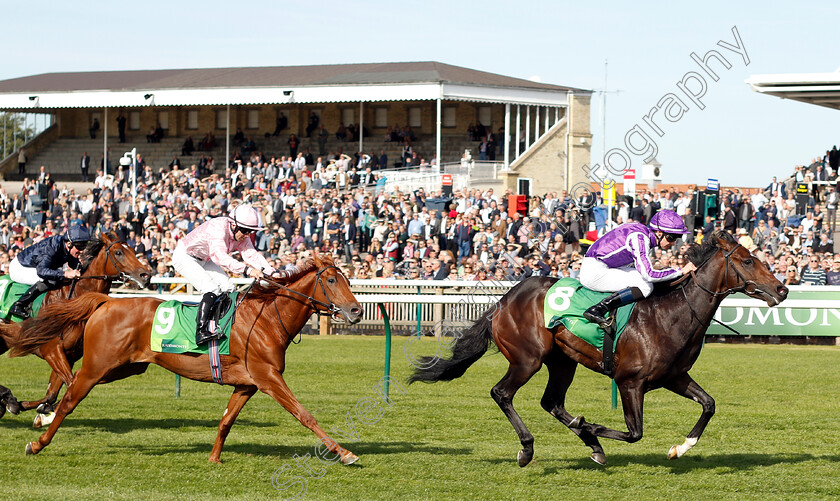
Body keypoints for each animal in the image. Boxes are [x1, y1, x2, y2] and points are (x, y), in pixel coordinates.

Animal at [0, 232, 153, 420]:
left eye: (132, 249)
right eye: (118, 252)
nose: (146, 275)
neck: (74, 300)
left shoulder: (69, 355)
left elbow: (52, 393)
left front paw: (34, 408)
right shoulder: (51, 350)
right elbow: (71, 383)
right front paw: (19, 405)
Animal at [13, 256, 360, 462]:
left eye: (347, 280)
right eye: (331, 281)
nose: (356, 310)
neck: (265, 319)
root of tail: (106, 302)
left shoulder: (247, 385)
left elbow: (226, 421)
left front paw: (214, 458)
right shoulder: (269, 378)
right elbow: (305, 414)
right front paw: (343, 452)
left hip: (125, 368)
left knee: (64, 385)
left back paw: (24, 406)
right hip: (98, 366)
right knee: (69, 397)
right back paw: (38, 440)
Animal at [406, 230, 788, 464]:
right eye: (748, 261)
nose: (782, 290)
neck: (671, 313)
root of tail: (504, 300)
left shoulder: (674, 377)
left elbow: (709, 405)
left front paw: (680, 448)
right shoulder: (629, 382)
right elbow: (635, 433)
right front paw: (590, 426)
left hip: (563, 362)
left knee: (552, 403)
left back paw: (590, 443)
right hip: (527, 359)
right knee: (502, 393)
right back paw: (529, 448)